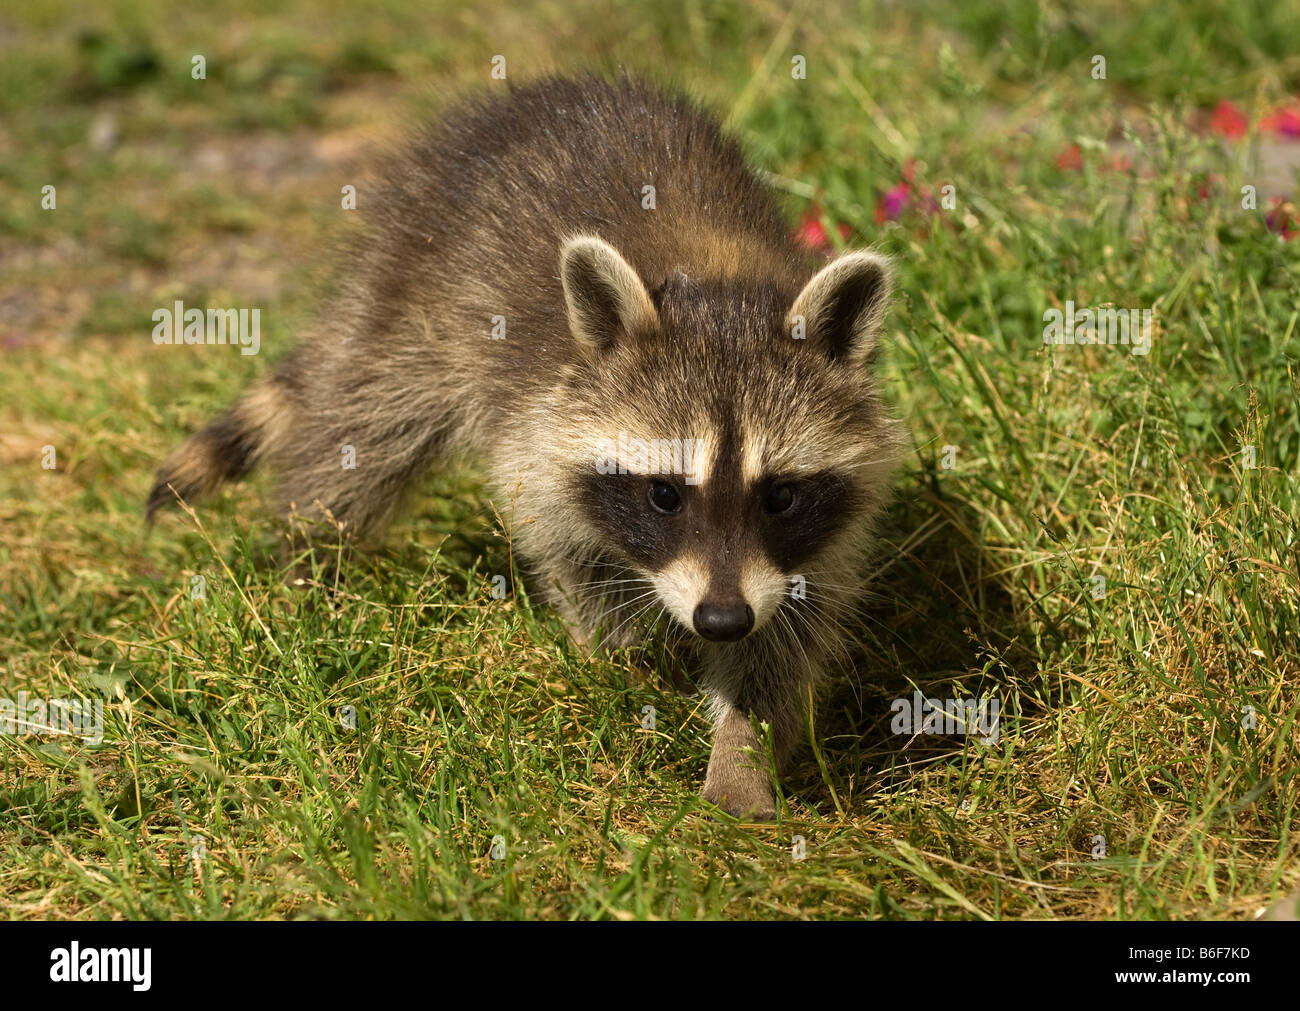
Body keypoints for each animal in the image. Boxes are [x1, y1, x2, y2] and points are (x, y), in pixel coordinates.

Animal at [149, 76, 904, 821]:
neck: (719, 284)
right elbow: (571, 553)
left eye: (781, 496)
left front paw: (742, 756)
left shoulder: (811, 547)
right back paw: (308, 550)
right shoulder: (539, 426)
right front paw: (620, 665)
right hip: (420, 295)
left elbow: (784, 640)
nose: (720, 620)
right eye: (664, 494)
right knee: (363, 428)